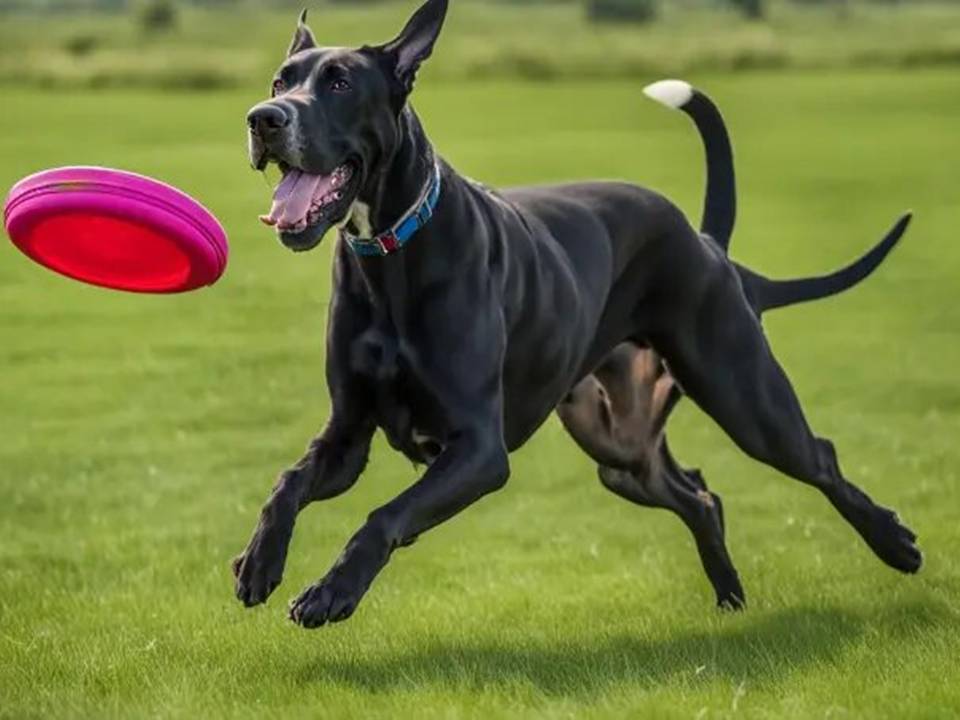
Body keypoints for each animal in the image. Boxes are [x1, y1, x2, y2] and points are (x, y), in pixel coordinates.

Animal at [234, 0, 924, 624]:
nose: (263, 119)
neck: (390, 246)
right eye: (280, 81)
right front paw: (259, 562)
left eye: (340, 83)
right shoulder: (347, 434)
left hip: (743, 396)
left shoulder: (479, 449)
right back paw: (730, 598)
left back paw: (896, 546)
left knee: (818, 457)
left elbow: (385, 514)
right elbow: (287, 484)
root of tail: (704, 243)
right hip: (619, 446)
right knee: (699, 494)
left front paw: (331, 593)